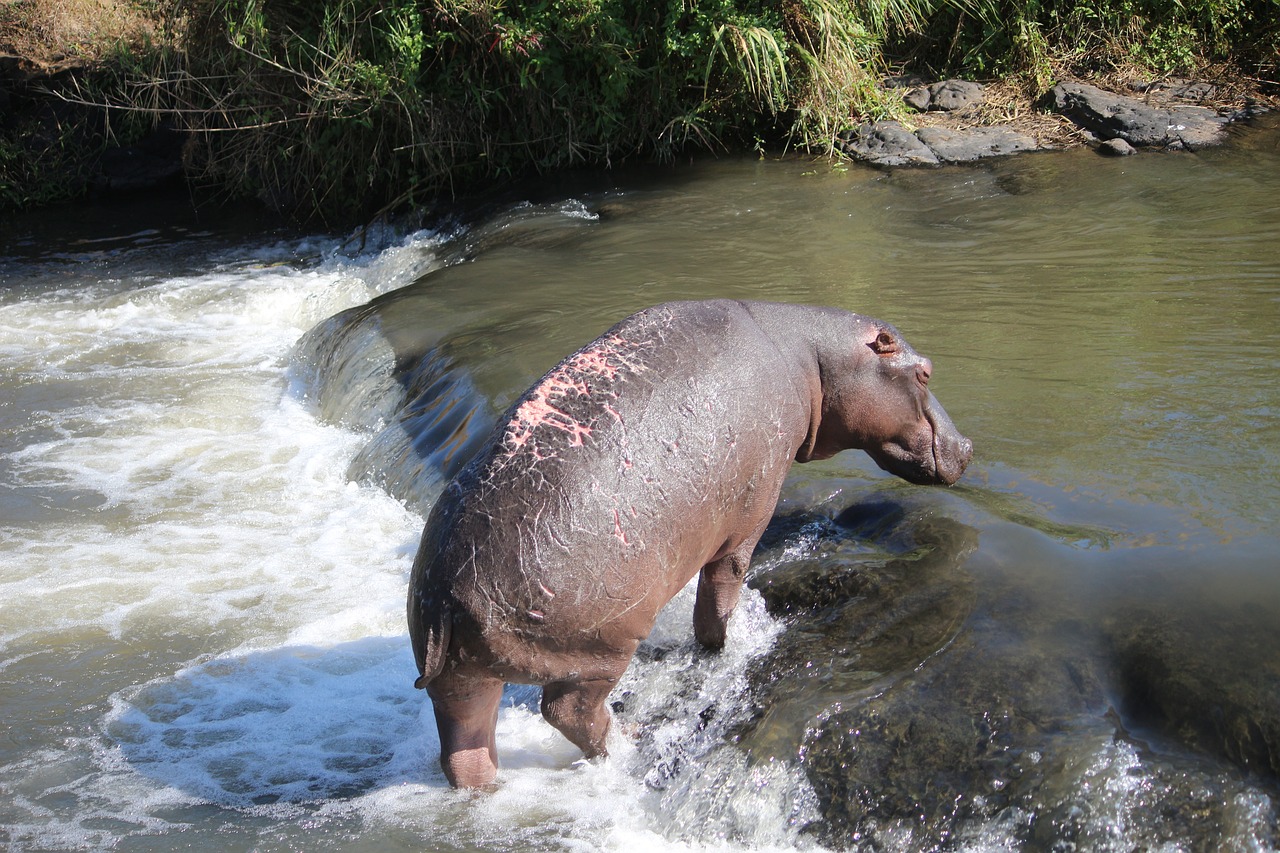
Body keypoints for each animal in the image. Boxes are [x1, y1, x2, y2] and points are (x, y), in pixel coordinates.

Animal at [404, 298, 962, 783]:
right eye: (925, 372)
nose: (968, 445)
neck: (815, 357)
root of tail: (446, 596)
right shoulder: (749, 518)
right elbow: (720, 593)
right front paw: (723, 647)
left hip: (459, 677)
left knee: (464, 749)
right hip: (599, 648)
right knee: (567, 711)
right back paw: (628, 740)